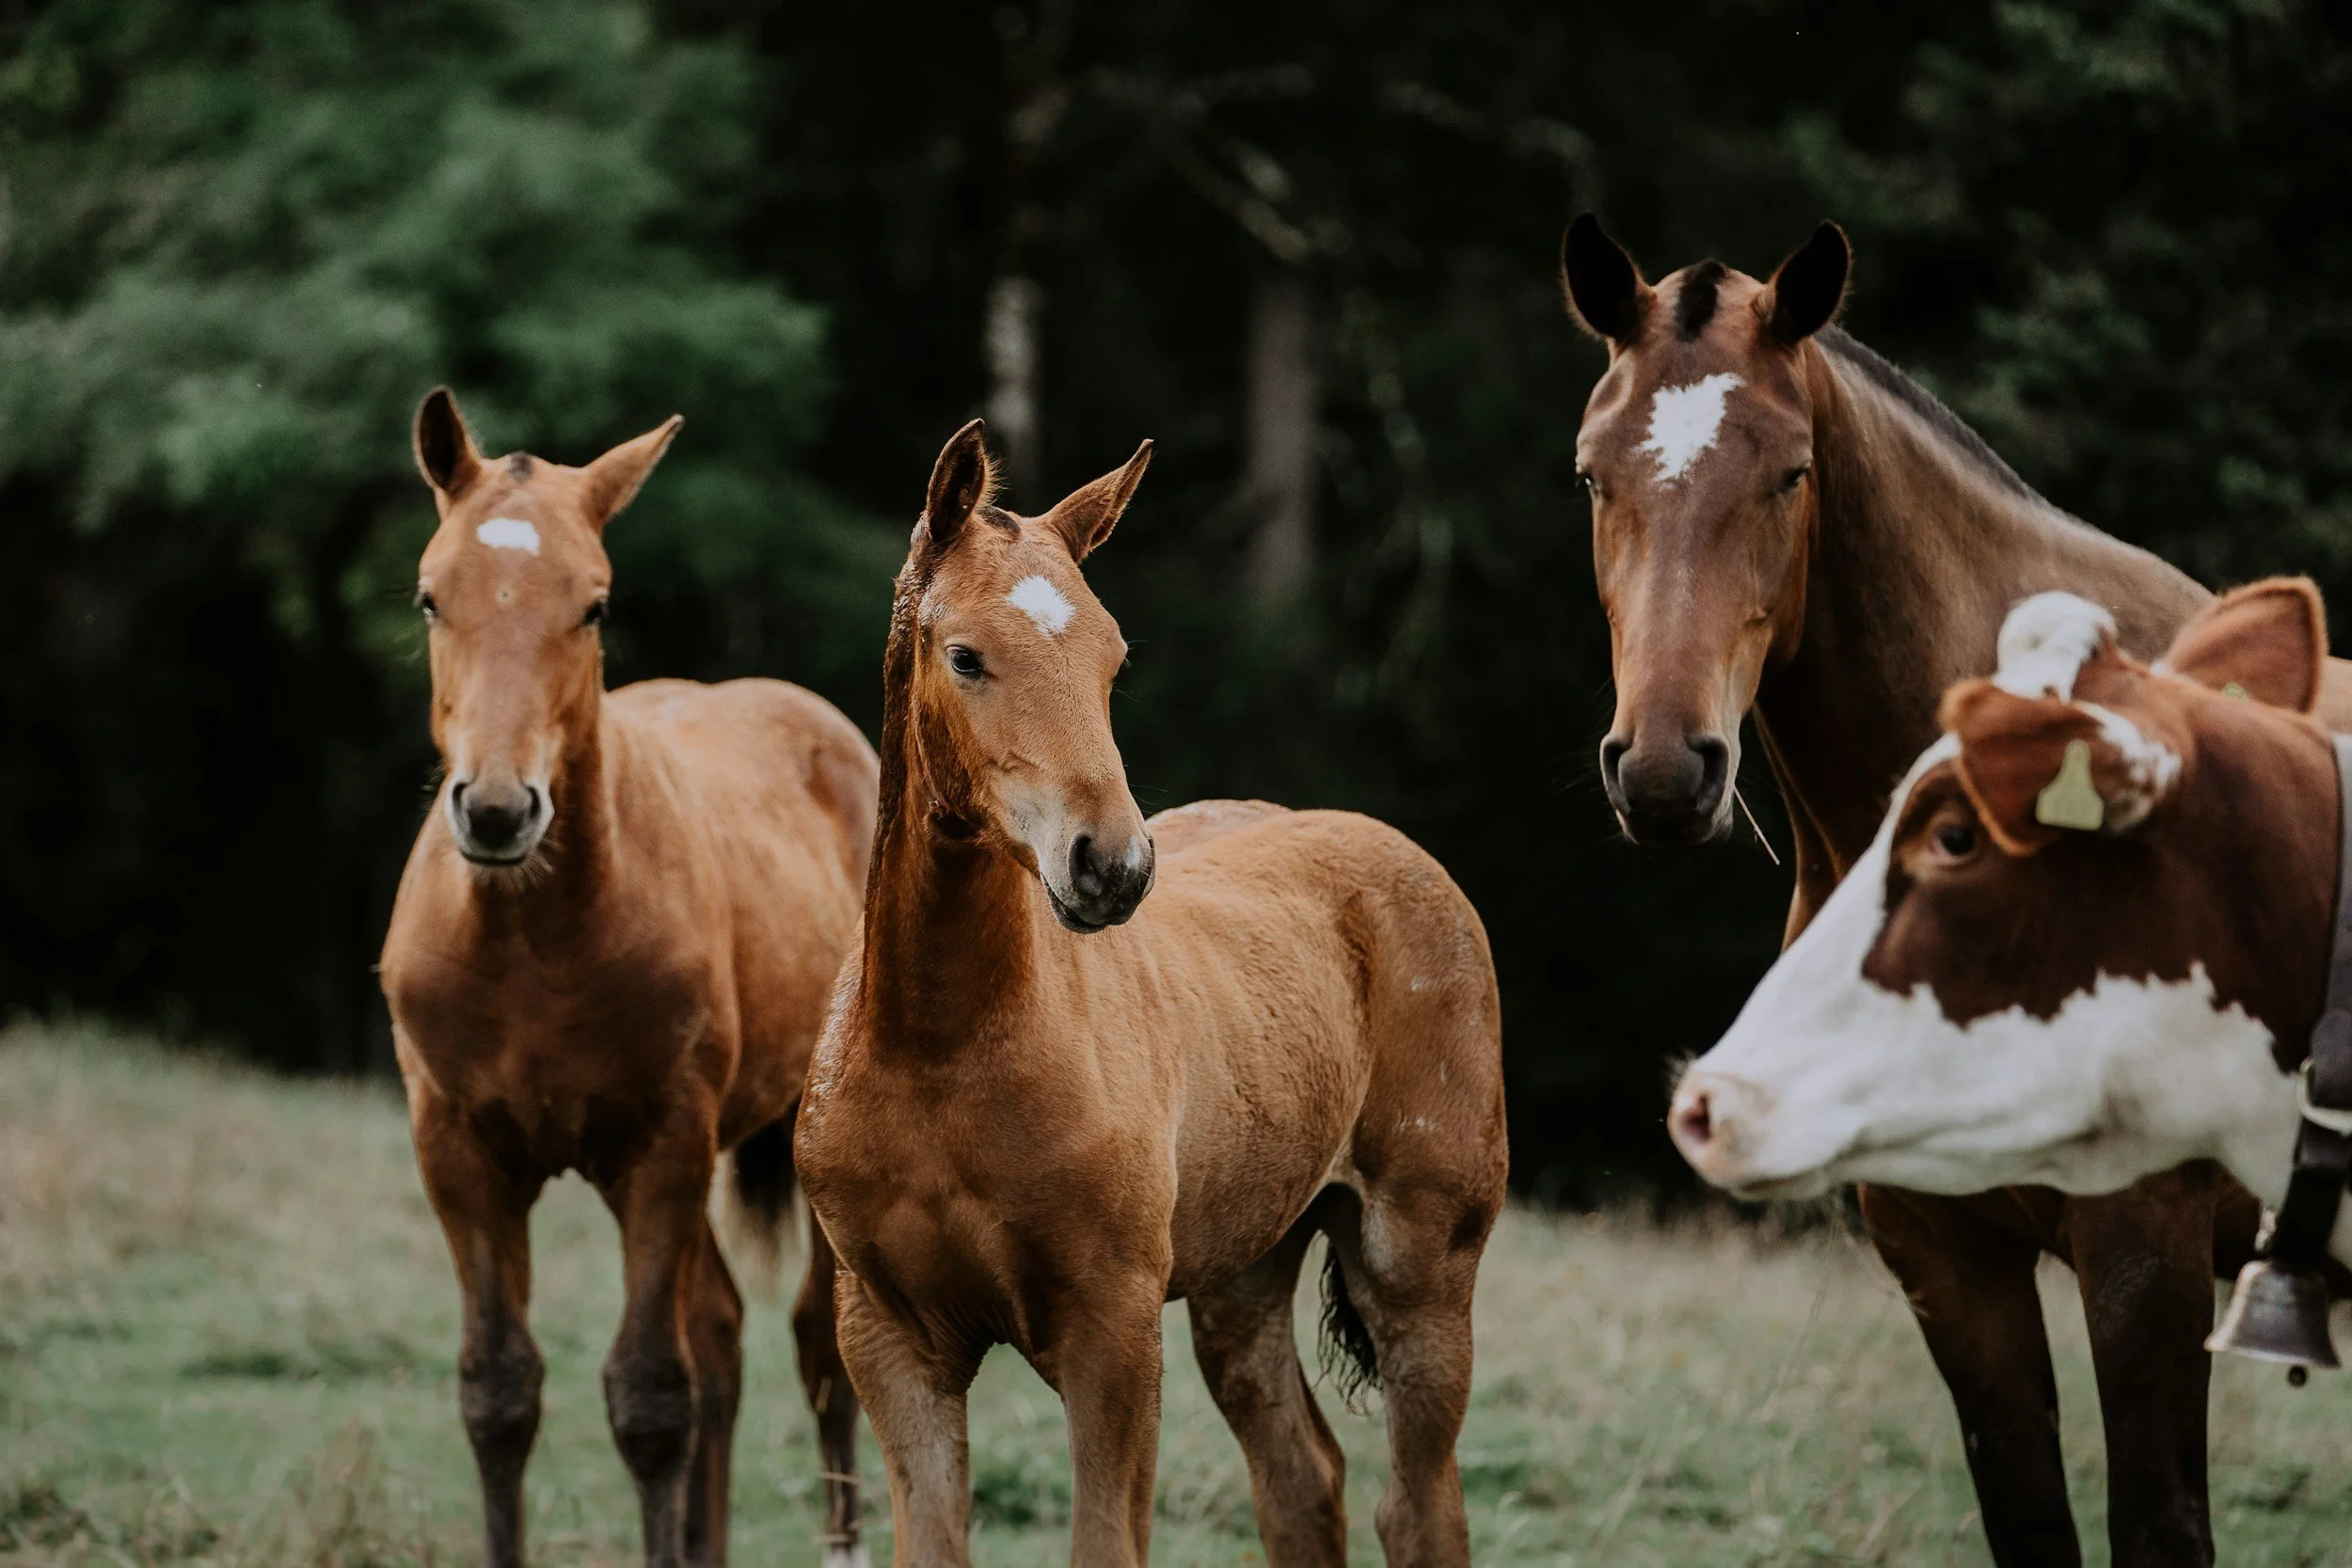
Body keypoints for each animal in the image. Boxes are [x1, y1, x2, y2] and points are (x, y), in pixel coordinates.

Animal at [379, 390, 880, 1568]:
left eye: (592, 605)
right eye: (430, 595)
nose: (499, 809)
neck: (534, 940)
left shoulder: (660, 1144)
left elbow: (651, 1396)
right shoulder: (457, 1154)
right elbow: (499, 1391)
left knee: (816, 1350)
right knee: (725, 1337)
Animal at [794, 421, 1509, 1568]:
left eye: (1112, 657)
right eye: (965, 655)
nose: (1113, 866)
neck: (939, 1048)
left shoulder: (1112, 1328)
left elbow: (1105, 1541)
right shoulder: (891, 1338)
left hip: (1420, 1262)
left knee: (1419, 1506)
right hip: (1241, 1273)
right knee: (1302, 1478)